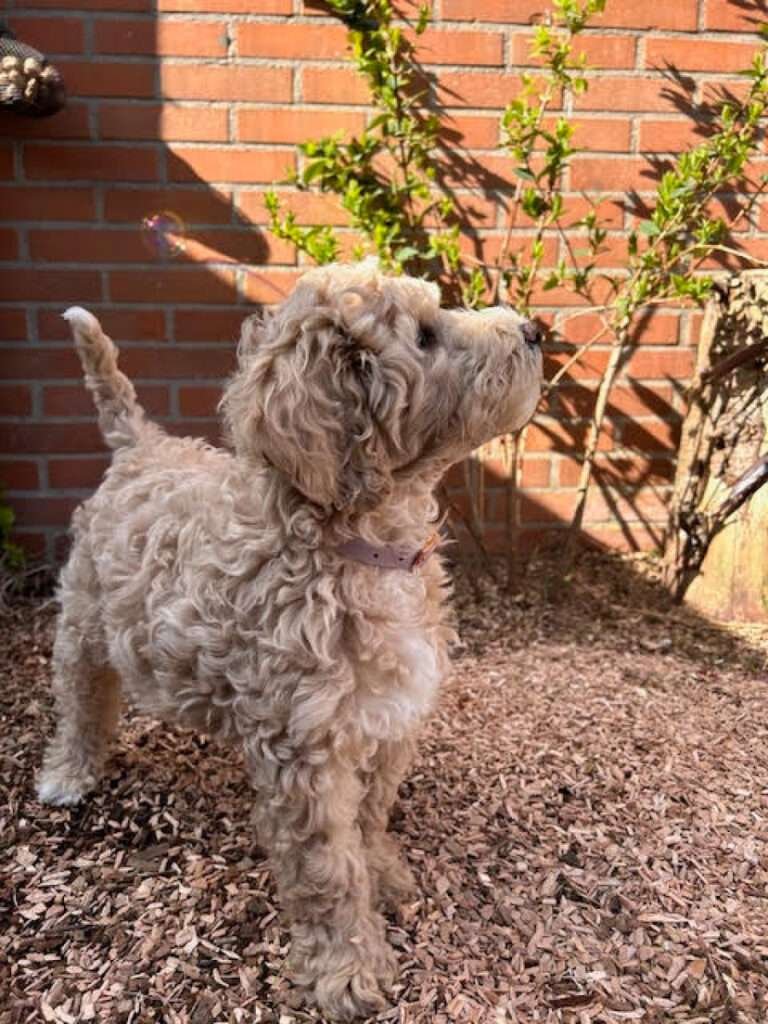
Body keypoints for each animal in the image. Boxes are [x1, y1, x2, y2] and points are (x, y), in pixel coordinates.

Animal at [34, 262, 540, 1015]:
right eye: (425, 334)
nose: (534, 331)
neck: (366, 548)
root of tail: (140, 446)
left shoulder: (388, 722)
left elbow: (371, 818)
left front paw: (384, 872)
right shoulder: (306, 750)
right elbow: (329, 870)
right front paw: (348, 970)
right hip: (83, 621)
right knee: (80, 701)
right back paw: (68, 774)